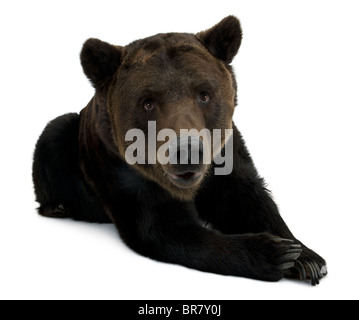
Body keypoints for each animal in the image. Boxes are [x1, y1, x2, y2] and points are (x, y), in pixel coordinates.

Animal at [32, 16, 328, 284]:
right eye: (148, 102)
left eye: (204, 94)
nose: (187, 151)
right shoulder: (124, 171)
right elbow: (163, 228)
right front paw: (274, 253)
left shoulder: (226, 155)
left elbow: (250, 198)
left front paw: (306, 258)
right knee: (54, 133)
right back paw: (58, 206)